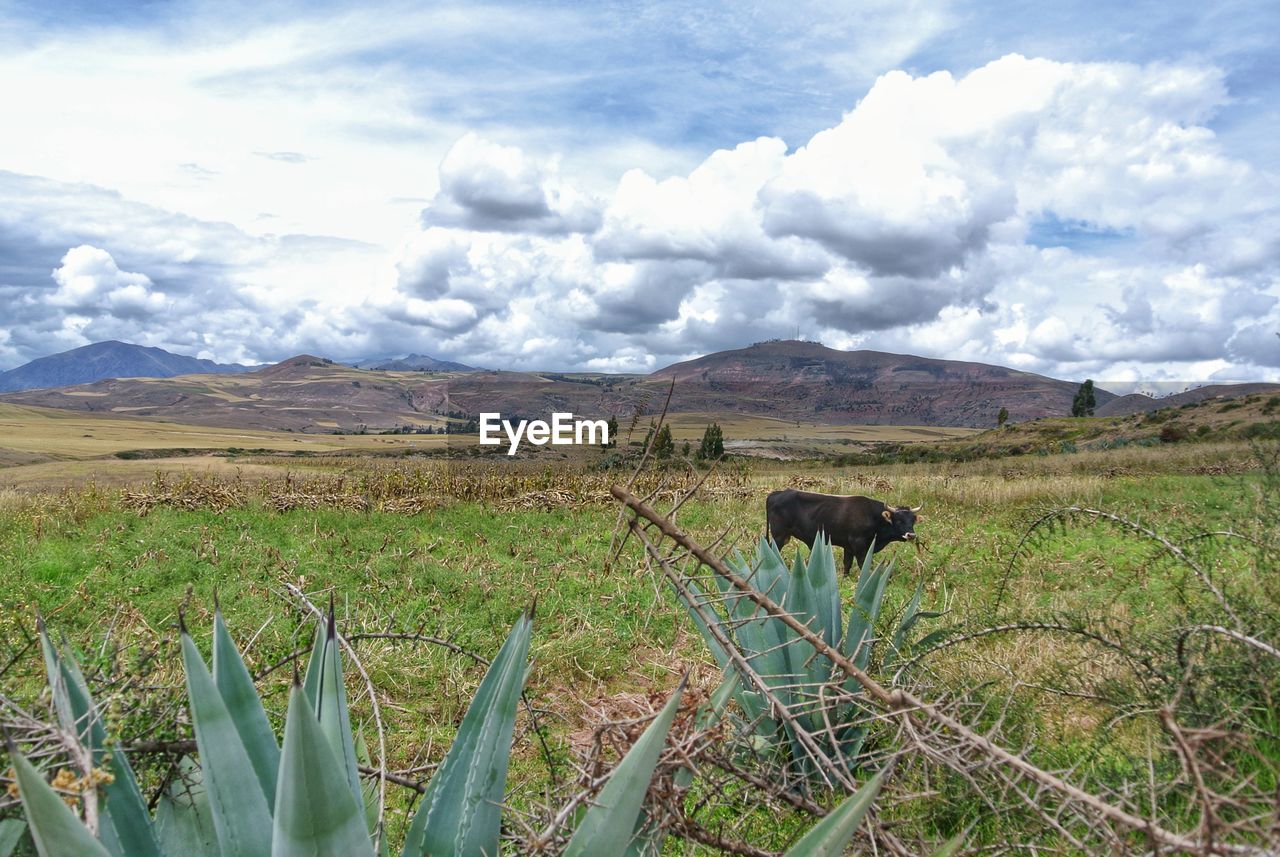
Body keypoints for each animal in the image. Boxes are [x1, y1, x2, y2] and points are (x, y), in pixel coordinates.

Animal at [768, 493, 921, 573]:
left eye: (913, 521)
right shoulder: (859, 544)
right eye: (899, 520)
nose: (911, 535)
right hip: (779, 536)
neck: (872, 516)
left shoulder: (849, 547)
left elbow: (847, 564)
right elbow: (863, 563)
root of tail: (777, 493)